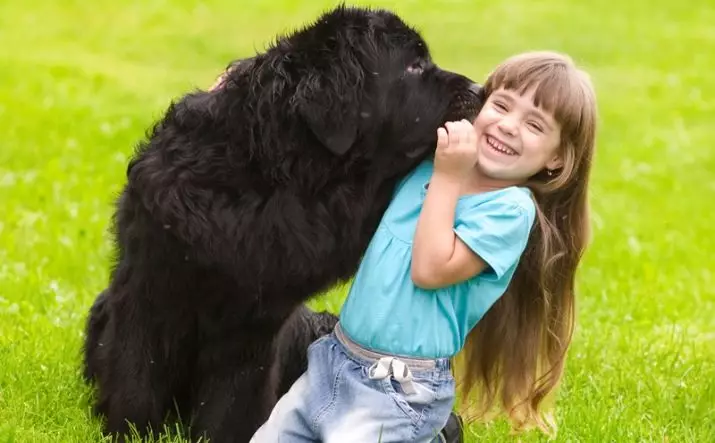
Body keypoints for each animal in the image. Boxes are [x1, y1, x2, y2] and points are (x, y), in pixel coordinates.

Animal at [84, 4, 482, 443]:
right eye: (414, 65)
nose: (481, 89)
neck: (274, 170)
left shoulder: (255, 321)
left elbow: (235, 399)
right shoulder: (149, 287)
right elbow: (137, 374)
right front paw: (129, 430)